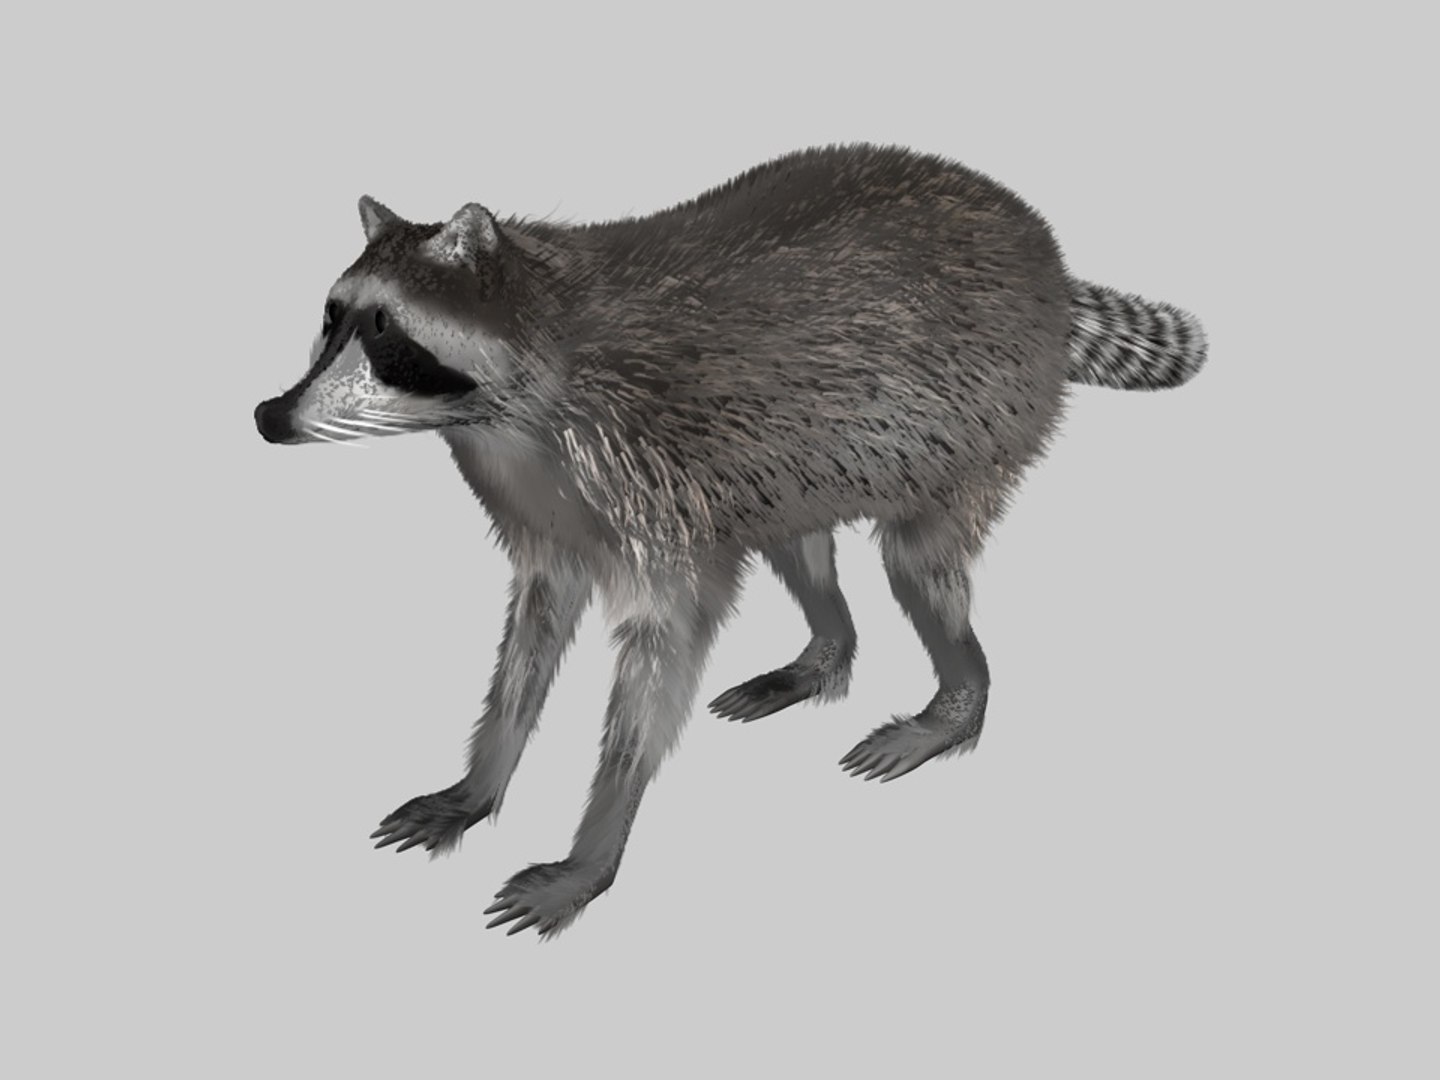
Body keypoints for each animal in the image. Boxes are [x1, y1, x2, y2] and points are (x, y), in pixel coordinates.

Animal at [254, 143, 1207, 939]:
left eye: (385, 332)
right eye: (331, 318)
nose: (269, 416)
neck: (504, 404)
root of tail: (1044, 257)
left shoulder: (647, 473)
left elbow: (656, 664)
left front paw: (593, 850)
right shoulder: (549, 509)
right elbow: (530, 643)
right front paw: (482, 780)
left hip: (981, 415)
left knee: (917, 564)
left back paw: (956, 701)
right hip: (798, 457)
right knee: (798, 544)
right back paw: (826, 651)